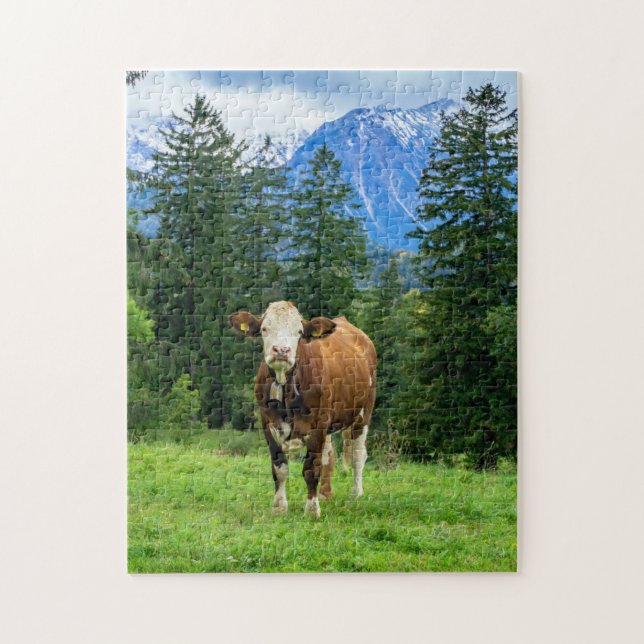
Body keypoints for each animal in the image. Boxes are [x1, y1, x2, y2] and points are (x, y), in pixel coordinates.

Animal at [229, 301, 376, 518]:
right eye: (264, 328)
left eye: (298, 332)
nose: (281, 350)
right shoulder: (268, 423)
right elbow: (279, 468)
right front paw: (279, 507)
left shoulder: (317, 425)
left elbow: (311, 468)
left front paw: (312, 509)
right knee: (329, 454)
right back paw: (325, 493)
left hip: (363, 412)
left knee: (358, 454)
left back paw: (356, 493)